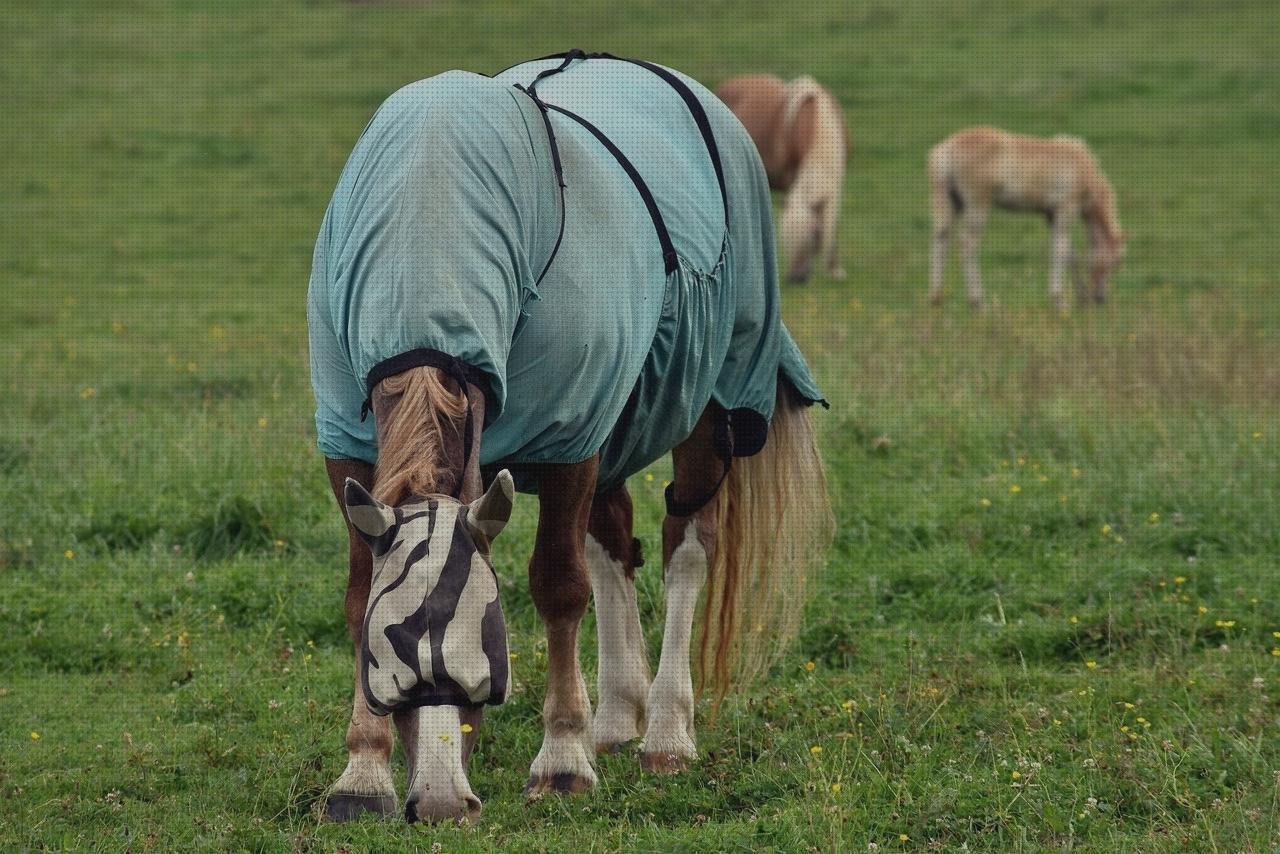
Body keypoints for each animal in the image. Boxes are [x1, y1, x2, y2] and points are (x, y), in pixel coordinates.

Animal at [926, 125, 1126, 312]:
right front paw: (1059, 302)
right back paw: (978, 304)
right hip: (977, 205)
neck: (1081, 167)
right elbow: (1061, 252)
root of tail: (948, 148)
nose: (1100, 298)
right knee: (967, 245)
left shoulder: (1051, 215)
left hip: (948, 203)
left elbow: (1070, 254)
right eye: (1116, 261)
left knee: (941, 239)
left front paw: (1081, 298)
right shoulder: (1066, 210)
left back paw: (937, 299)